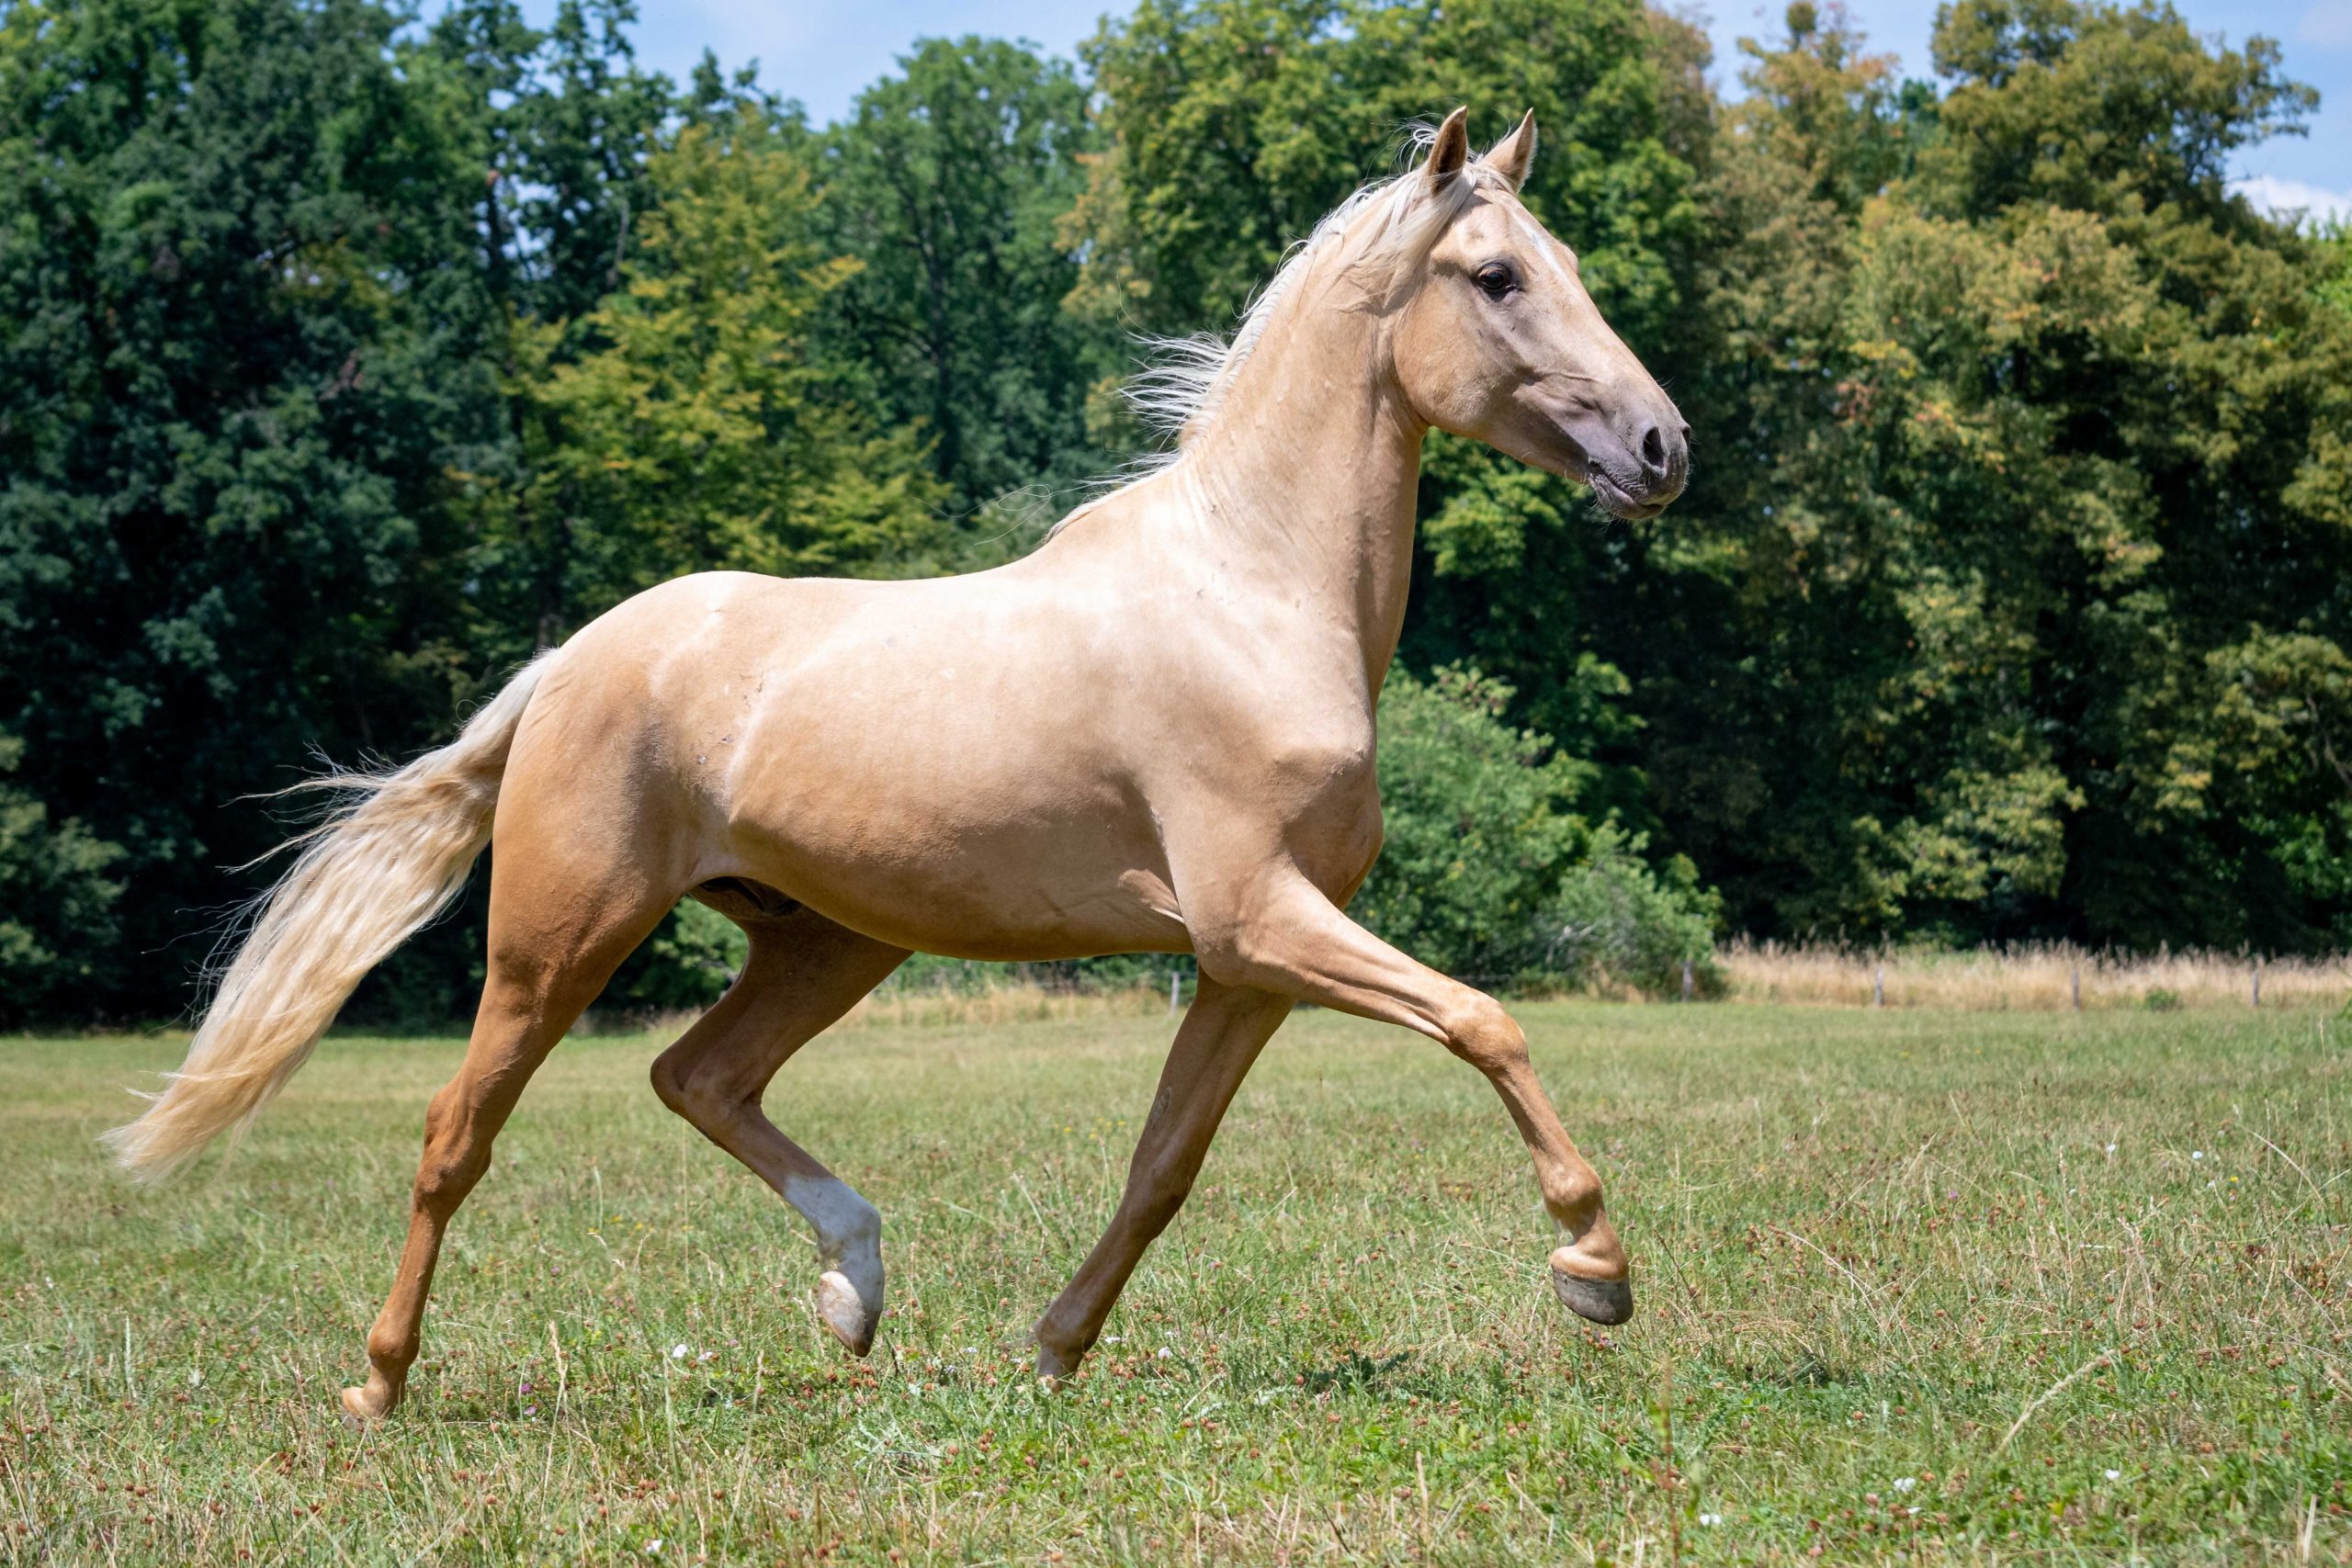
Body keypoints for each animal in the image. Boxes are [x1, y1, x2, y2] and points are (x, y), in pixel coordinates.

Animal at [114, 104, 1693, 1419]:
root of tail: (568, 664)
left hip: (825, 940)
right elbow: (1486, 1019)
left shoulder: (1246, 963)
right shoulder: (1262, 919)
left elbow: (1163, 1162)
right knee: (461, 1132)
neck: (1251, 589)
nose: (1663, 445)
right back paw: (380, 1383)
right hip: (559, 942)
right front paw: (1595, 1268)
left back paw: (853, 1292)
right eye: (1496, 275)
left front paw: (1051, 1349)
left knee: (698, 1076)